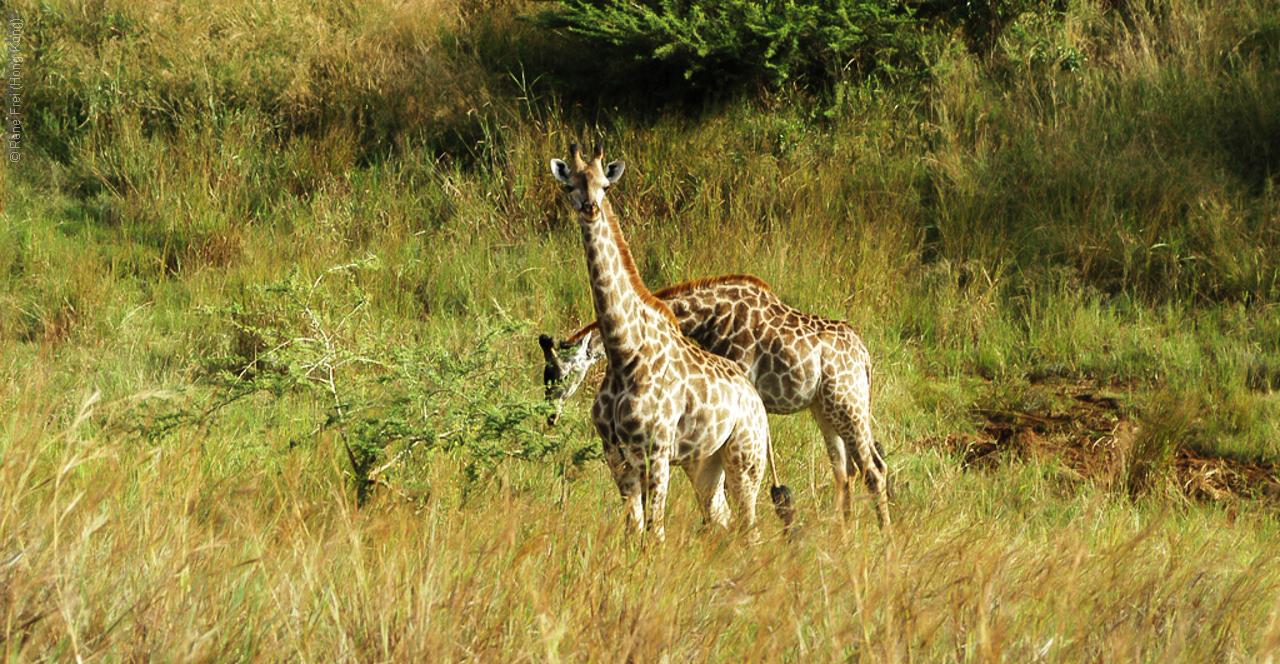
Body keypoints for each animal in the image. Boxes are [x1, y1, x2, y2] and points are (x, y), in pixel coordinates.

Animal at [540, 272, 890, 527]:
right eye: (546, 374)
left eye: (559, 373)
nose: (551, 417)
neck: (712, 316)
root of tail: (865, 356)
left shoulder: (741, 383)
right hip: (826, 409)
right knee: (846, 472)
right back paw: (845, 536)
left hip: (848, 404)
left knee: (873, 469)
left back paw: (884, 539)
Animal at [550, 142, 788, 542]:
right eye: (570, 186)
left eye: (605, 186)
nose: (590, 208)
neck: (623, 351)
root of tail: (756, 401)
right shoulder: (616, 454)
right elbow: (633, 531)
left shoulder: (656, 451)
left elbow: (654, 534)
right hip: (704, 463)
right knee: (721, 520)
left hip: (746, 457)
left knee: (749, 528)